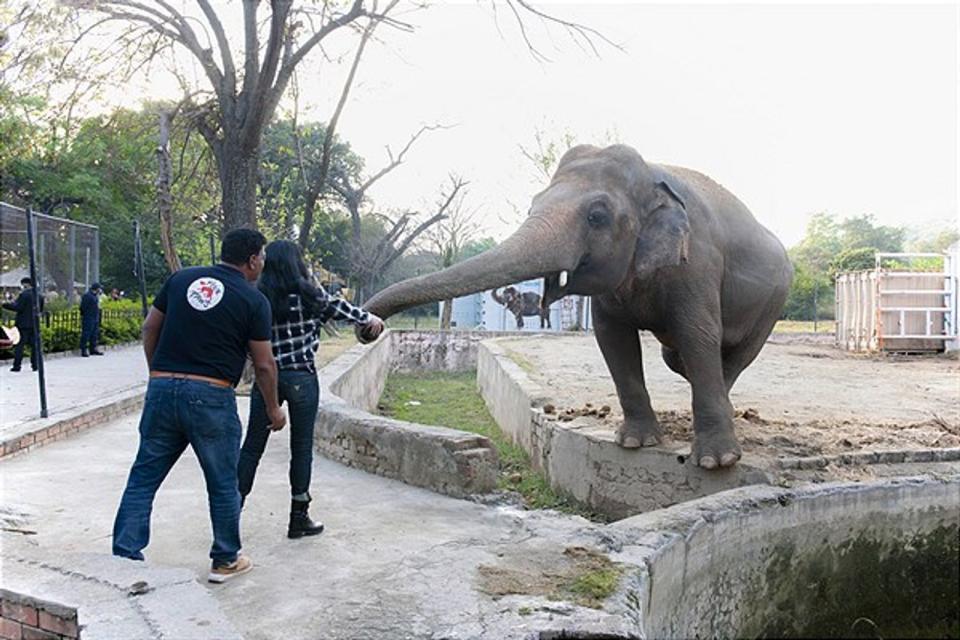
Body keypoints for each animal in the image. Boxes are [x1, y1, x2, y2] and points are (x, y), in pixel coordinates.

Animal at [364, 142, 792, 468]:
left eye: (597, 216)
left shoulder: (698, 263)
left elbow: (697, 335)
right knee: (677, 358)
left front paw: (716, 463)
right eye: (532, 205)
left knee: (730, 355)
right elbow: (613, 339)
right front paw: (634, 444)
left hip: (774, 301)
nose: (369, 327)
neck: (651, 177)